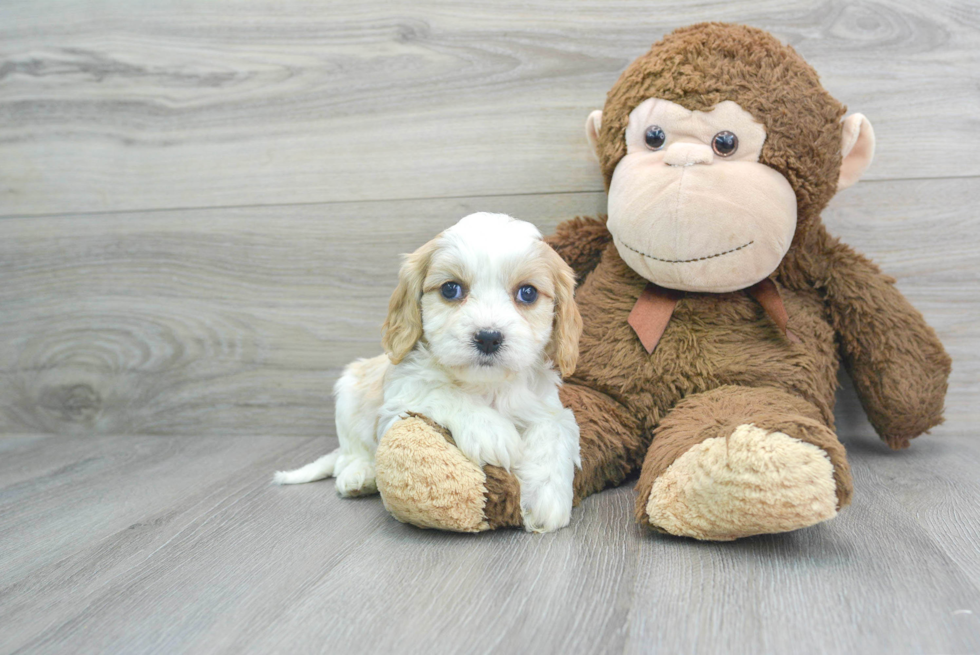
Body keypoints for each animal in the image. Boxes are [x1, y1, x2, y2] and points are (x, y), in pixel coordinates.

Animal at [272, 214, 584, 532]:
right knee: (348, 453)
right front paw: (490, 430)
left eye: (528, 293)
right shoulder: (399, 395)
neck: (485, 386)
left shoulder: (548, 404)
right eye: (450, 289)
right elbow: (439, 391)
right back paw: (359, 474)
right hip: (348, 392)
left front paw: (546, 497)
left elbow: (557, 426)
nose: (488, 337)